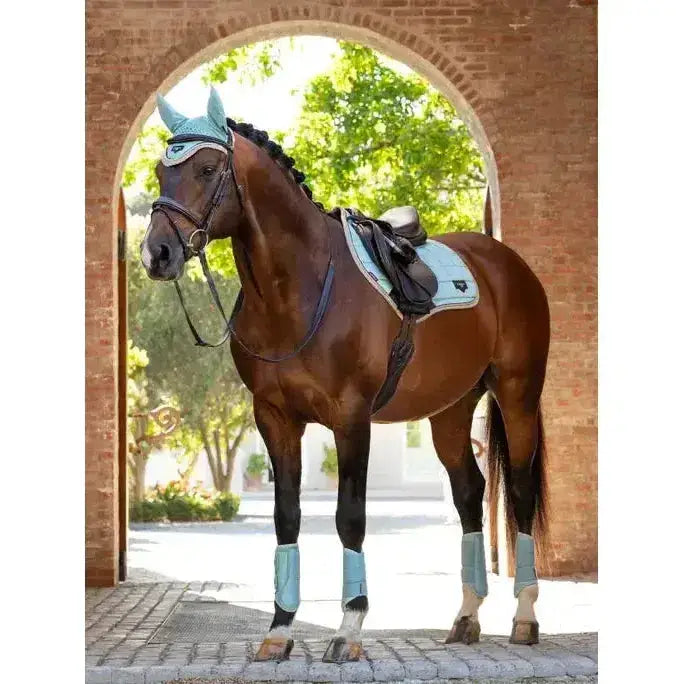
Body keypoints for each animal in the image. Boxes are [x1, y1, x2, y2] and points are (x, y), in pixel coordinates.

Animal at [140, 88, 550, 662]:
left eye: (205, 168)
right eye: (161, 170)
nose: (157, 253)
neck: (301, 287)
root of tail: (507, 263)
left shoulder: (350, 417)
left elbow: (350, 517)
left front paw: (349, 628)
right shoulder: (274, 418)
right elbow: (286, 517)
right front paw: (279, 629)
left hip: (517, 395)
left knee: (520, 491)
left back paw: (525, 617)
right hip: (450, 411)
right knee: (471, 492)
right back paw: (466, 617)